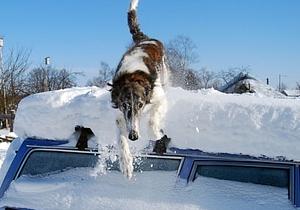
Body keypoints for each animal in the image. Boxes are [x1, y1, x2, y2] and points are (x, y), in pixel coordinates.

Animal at [111, 0, 170, 179]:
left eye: (140, 104)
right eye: (125, 105)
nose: (134, 137)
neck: (132, 76)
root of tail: (145, 39)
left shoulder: (159, 97)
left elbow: (152, 120)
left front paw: (156, 134)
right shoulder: (120, 114)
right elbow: (121, 139)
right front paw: (126, 164)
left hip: (165, 71)